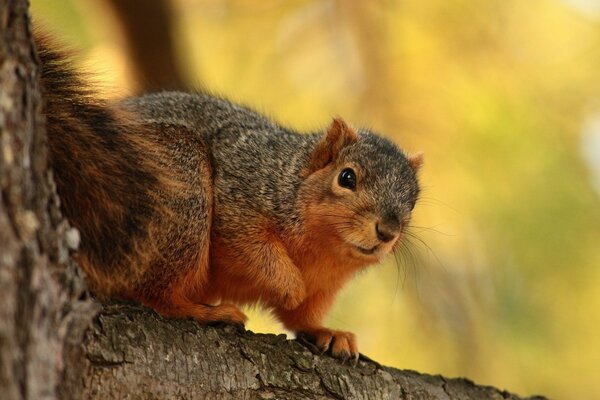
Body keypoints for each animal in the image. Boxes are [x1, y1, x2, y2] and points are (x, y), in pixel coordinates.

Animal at [37, 36, 422, 362]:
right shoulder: (239, 196)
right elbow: (252, 248)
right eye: (347, 177)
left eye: (413, 200)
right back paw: (204, 311)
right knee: (155, 293)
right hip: (178, 185)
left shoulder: (325, 287)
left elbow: (301, 316)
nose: (388, 231)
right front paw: (289, 286)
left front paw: (326, 332)